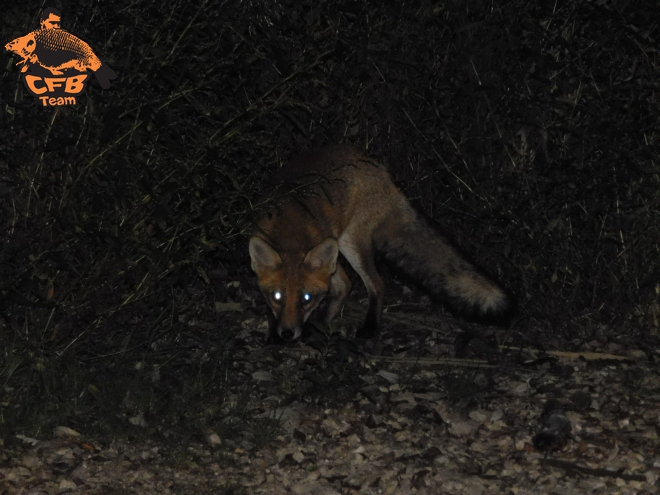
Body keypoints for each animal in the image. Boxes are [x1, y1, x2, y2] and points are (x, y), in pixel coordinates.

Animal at [250, 145, 512, 342]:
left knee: (376, 283)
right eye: (277, 296)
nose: (287, 333)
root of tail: (378, 167)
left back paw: (369, 328)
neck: (289, 227)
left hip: (351, 243)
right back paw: (323, 324)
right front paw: (274, 332)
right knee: (345, 284)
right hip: (338, 248)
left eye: (306, 299)